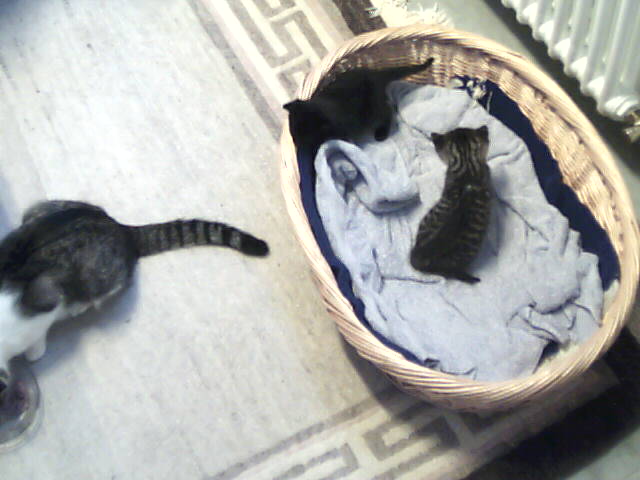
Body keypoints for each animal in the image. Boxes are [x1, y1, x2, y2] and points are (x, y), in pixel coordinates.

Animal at [0, 200, 269, 393]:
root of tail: (121, 228)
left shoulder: (43, 308)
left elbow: (38, 335)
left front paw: (34, 354)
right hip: (36, 209)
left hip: (102, 279)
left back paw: (79, 307)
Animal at [283, 58, 434, 154]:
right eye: (294, 133)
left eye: (305, 135)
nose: (298, 146)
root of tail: (376, 74)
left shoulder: (342, 131)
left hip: (374, 109)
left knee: (388, 112)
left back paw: (381, 133)